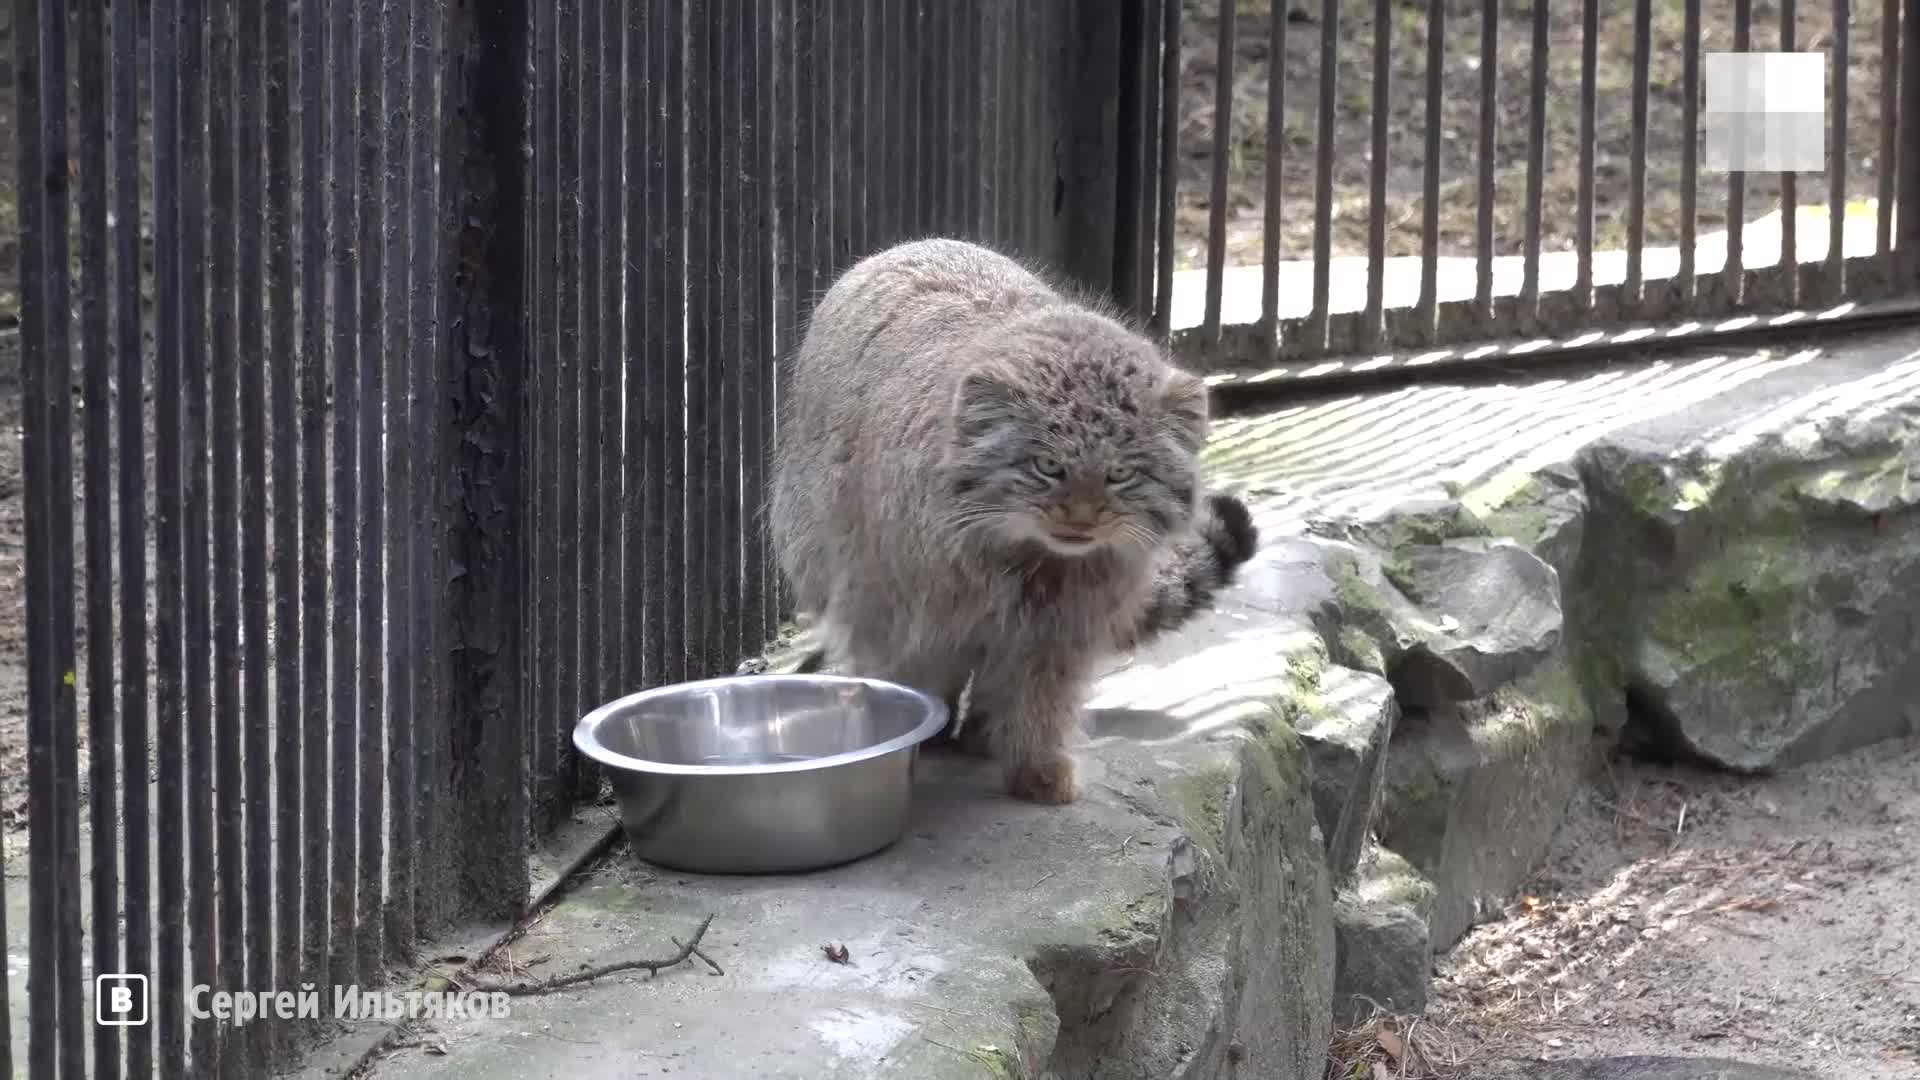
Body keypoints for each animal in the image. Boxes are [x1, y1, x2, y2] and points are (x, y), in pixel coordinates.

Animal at [768, 239, 1259, 803]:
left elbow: (1040, 697)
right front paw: (919, 736)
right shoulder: (894, 611)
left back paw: (982, 733)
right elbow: (907, 678)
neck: (1028, 562)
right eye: (1047, 466)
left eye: (1120, 473)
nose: (1080, 518)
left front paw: (1037, 765)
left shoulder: (1061, 627)